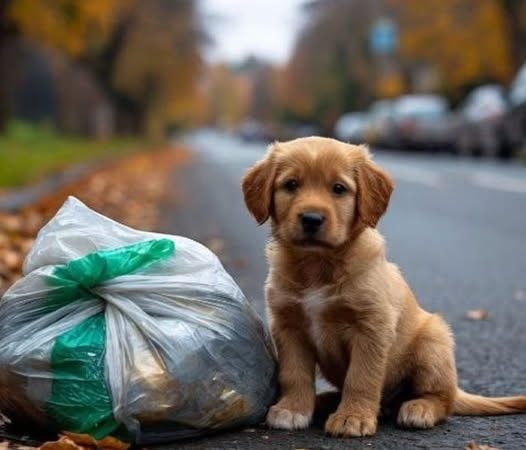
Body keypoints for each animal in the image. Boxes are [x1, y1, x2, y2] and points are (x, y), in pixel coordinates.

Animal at [242, 136, 526, 436]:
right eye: (291, 185)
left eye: (339, 189)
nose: (311, 219)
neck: (317, 265)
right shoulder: (288, 326)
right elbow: (295, 373)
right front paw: (293, 409)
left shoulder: (372, 326)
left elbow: (361, 377)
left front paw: (352, 417)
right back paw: (326, 401)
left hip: (433, 342)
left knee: (442, 400)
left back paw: (419, 408)